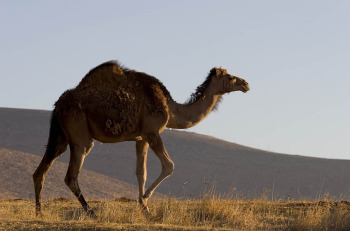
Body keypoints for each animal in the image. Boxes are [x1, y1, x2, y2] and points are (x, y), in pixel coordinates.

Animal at [32, 60, 249, 217]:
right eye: (230, 77)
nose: (245, 83)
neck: (171, 107)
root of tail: (59, 103)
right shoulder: (152, 132)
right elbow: (169, 166)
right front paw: (143, 201)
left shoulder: (140, 138)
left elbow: (140, 172)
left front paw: (145, 208)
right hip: (80, 135)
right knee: (71, 175)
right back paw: (90, 212)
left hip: (60, 136)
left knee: (40, 171)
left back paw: (39, 212)